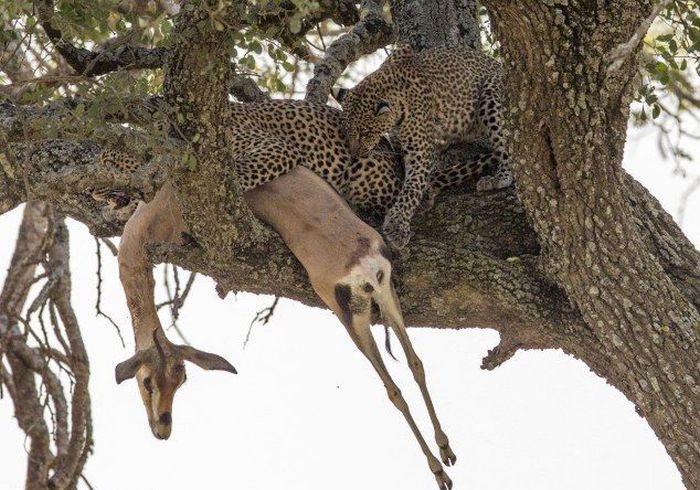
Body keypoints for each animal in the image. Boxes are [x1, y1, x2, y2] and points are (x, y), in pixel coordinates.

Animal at [336, 44, 512, 249]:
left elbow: (412, 186)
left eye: (365, 133)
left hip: (491, 94)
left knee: (507, 144)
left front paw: (397, 225)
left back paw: (501, 177)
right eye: (346, 130)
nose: (355, 153)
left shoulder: (420, 151)